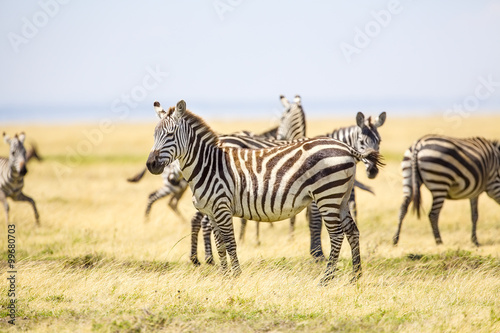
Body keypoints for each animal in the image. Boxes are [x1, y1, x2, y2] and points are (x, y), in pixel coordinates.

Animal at [146, 99, 382, 282]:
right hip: (341, 198)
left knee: (336, 235)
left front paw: (236, 276)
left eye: (170, 134)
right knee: (352, 231)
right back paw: (355, 276)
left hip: (327, 195)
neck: (209, 165)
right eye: (154, 135)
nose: (151, 165)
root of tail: (347, 148)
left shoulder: (222, 207)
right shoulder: (212, 212)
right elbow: (221, 244)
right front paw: (224, 276)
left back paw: (327, 278)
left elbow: (230, 243)